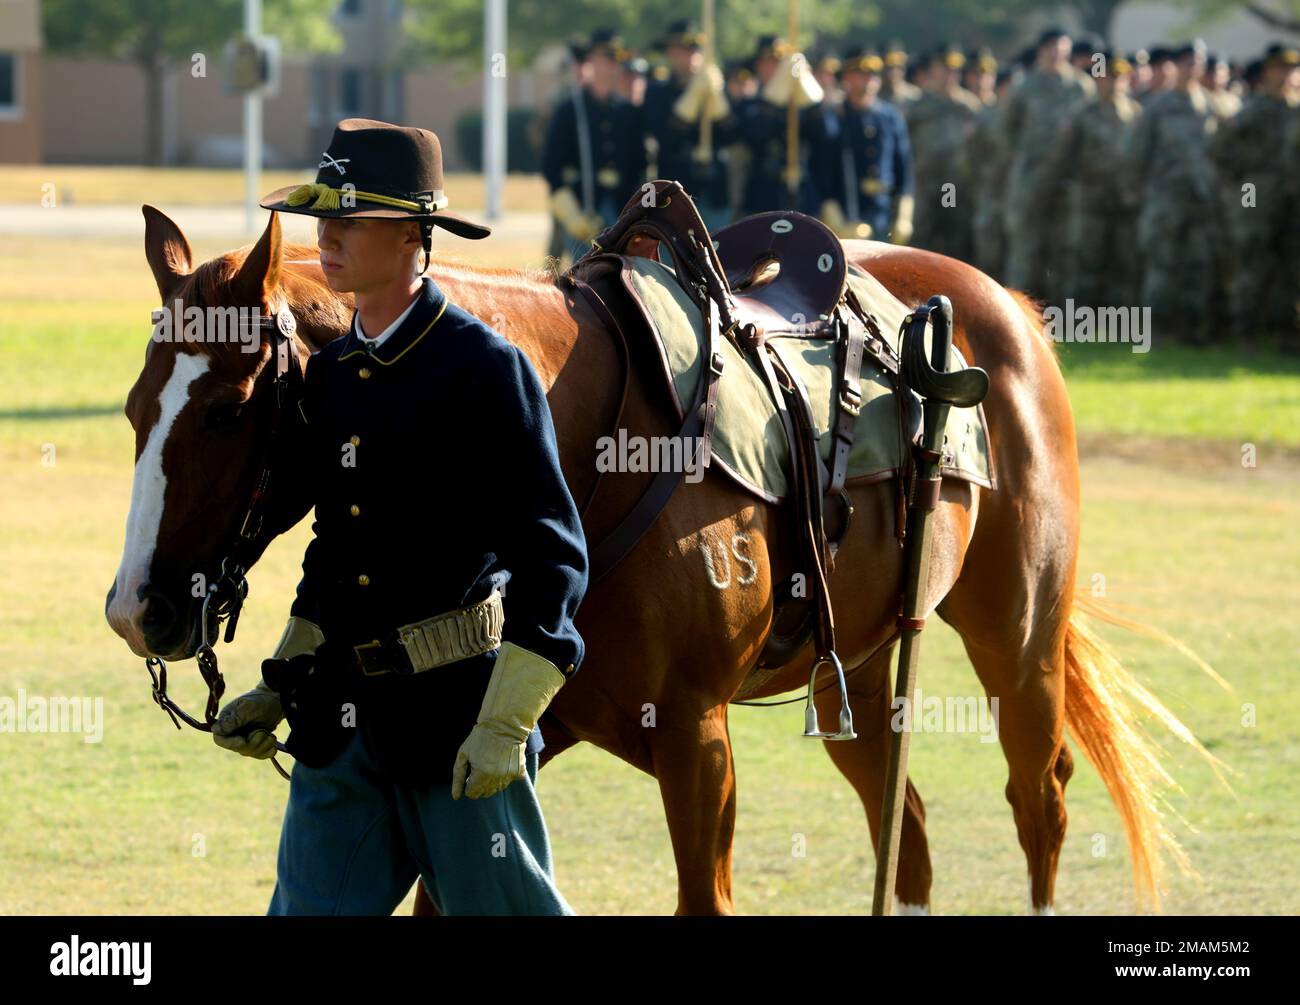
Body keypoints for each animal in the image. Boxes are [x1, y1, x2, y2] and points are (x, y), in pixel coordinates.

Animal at [106, 205, 1211, 915]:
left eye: (224, 410)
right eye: (133, 407)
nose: (137, 609)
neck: (581, 436)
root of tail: (1005, 305)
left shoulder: (695, 740)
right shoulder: (509, 733)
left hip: (1016, 638)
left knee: (1040, 800)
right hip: (850, 669)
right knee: (906, 830)